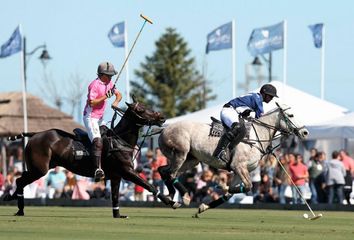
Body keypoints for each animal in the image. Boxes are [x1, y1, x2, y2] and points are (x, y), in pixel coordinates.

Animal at [3, 99, 178, 218]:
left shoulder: (117, 175)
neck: (120, 140)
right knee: (20, 181)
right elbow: (150, 186)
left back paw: (12, 200)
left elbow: (115, 196)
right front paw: (172, 202)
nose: (162, 117)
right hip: (39, 169)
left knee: (19, 180)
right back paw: (18, 206)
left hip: (39, 168)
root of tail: (34, 134)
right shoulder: (127, 171)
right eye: (141, 109)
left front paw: (118, 215)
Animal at [159, 103, 308, 208]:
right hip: (180, 154)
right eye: (291, 115)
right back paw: (183, 197)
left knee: (163, 171)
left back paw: (169, 198)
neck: (257, 136)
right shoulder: (239, 166)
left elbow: (232, 191)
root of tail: (163, 130)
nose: (305, 132)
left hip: (191, 160)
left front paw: (204, 206)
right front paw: (219, 187)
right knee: (171, 174)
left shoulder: (239, 170)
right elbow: (247, 187)